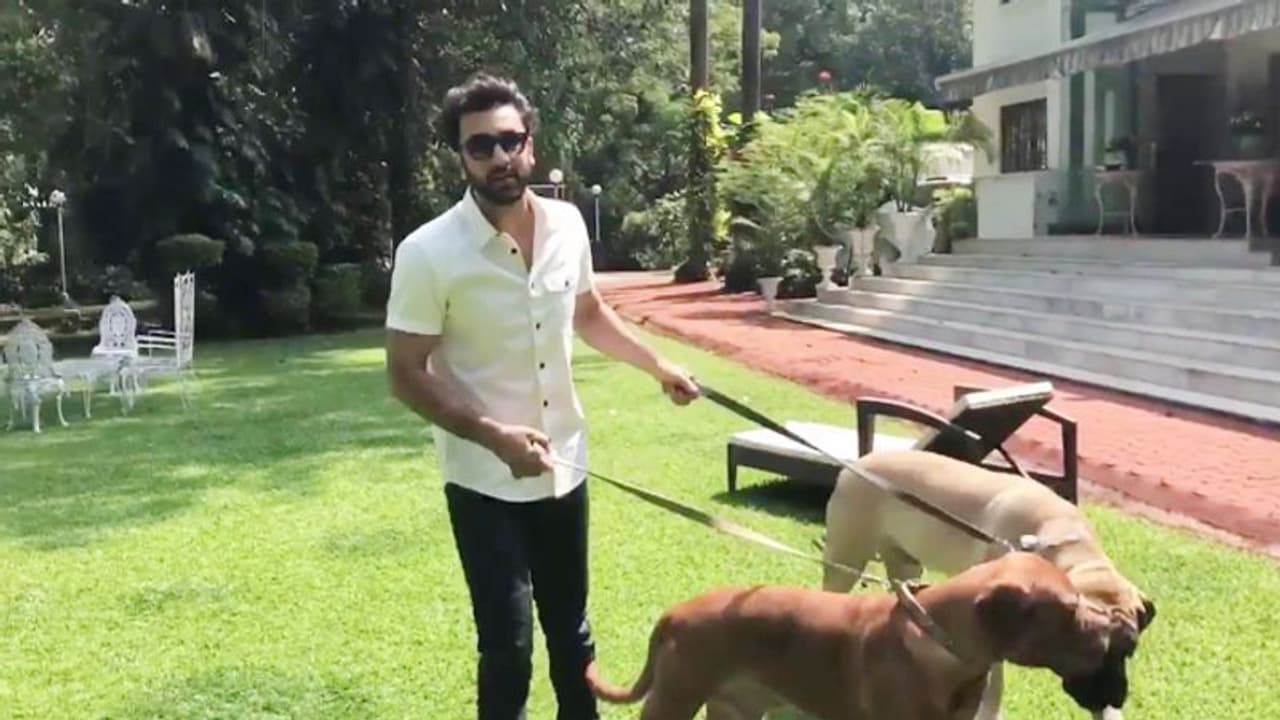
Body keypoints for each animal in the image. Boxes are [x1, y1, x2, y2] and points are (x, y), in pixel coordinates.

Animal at [821, 449, 1156, 720]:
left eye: (1129, 651)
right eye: (1091, 651)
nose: (1116, 698)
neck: (1065, 544)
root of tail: (856, 464)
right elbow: (993, 687)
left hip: (906, 563)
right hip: (846, 559)